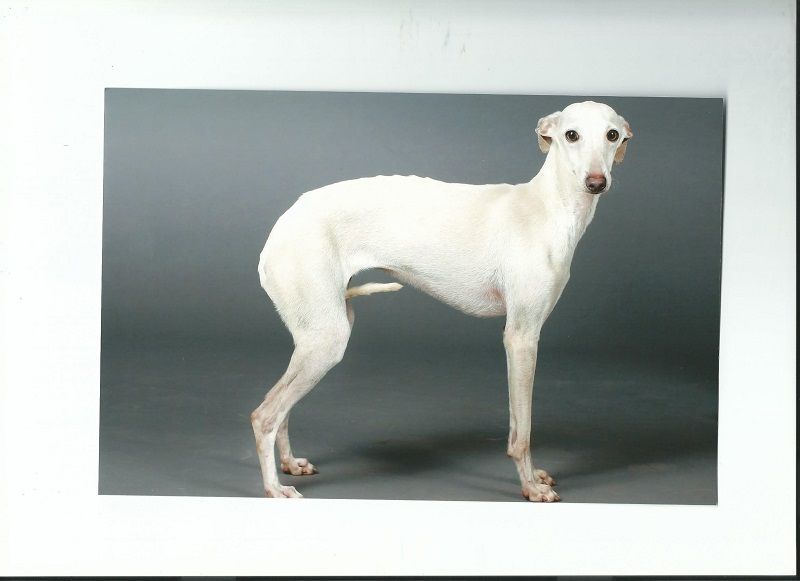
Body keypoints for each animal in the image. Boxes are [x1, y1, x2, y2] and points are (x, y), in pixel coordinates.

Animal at [251, 101, 632, 501]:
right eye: (571, 134)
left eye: (613, 135)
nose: (596, 183)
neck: (548, 207)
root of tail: (281, 225)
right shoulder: (522, 336)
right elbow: (522, 431)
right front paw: (530, 486)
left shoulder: (520, 335)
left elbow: (519, 422)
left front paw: (535, 476)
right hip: (326, 340)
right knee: (264, 415)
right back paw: (274, 488)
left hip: (317, 335)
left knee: (282, 409)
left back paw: (289, 464)